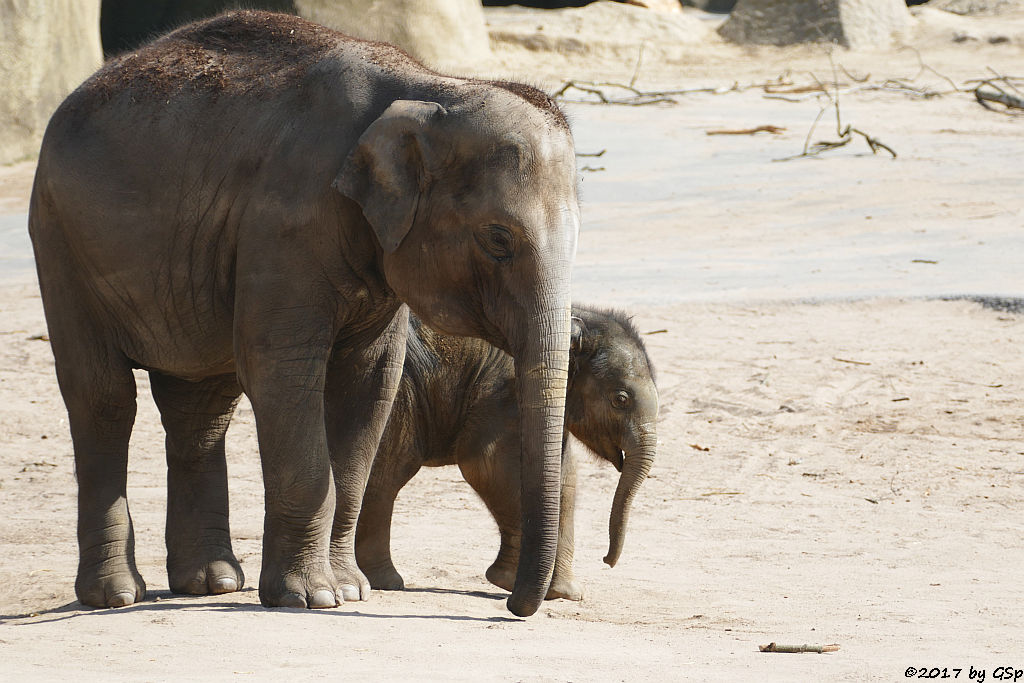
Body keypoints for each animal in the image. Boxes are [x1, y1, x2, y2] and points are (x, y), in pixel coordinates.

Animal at [29, 9, 577, 618]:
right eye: (498, 239)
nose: (512, 606)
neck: (429, 84)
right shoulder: (284, 223)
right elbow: (282, 372)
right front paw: (310, 597)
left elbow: (368, 385)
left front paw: (349, 590)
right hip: (59, 243)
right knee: (103, 399)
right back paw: (117, 596)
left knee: (201, 405)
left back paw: (213, 584)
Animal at [356, 307, 659, 602]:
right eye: (621, 399)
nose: (606, 560)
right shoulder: (505, 391)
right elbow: (487, 464)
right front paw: (511, 581)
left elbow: (564, 478)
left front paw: (564, 593)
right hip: (396, 393)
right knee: (390, 471)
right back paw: (386, 582)